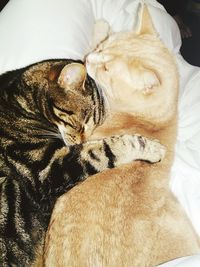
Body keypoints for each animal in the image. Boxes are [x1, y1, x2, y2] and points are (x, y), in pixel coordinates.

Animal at [0, 59, 165, 266]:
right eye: (80, 123)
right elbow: (104, 149)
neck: (22, 99)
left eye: (93, 127)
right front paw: (151, 147)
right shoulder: (45, 168)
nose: (82, 140)